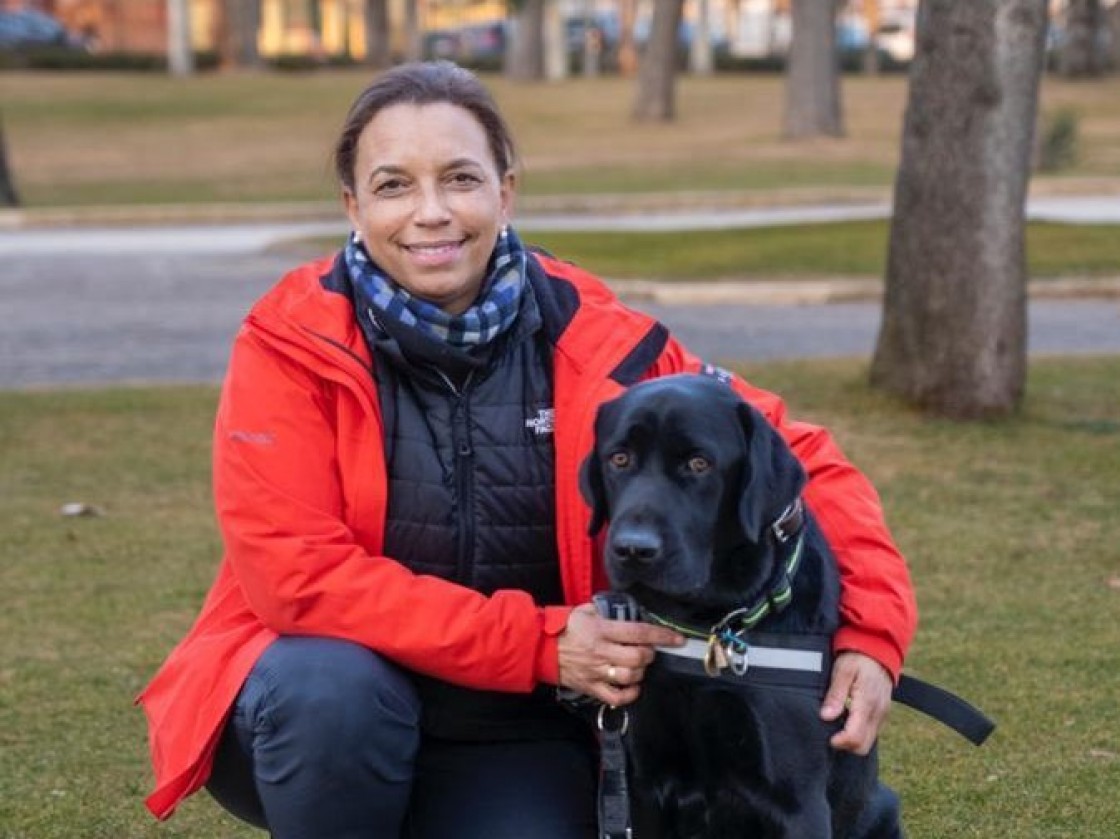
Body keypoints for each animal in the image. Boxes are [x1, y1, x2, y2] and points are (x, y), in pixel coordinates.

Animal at [582, 374, 896, 837]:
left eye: (699, 464)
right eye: (619, 458)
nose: (634, 550)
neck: (708, 625)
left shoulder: (798, 801)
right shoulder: (641, 785)